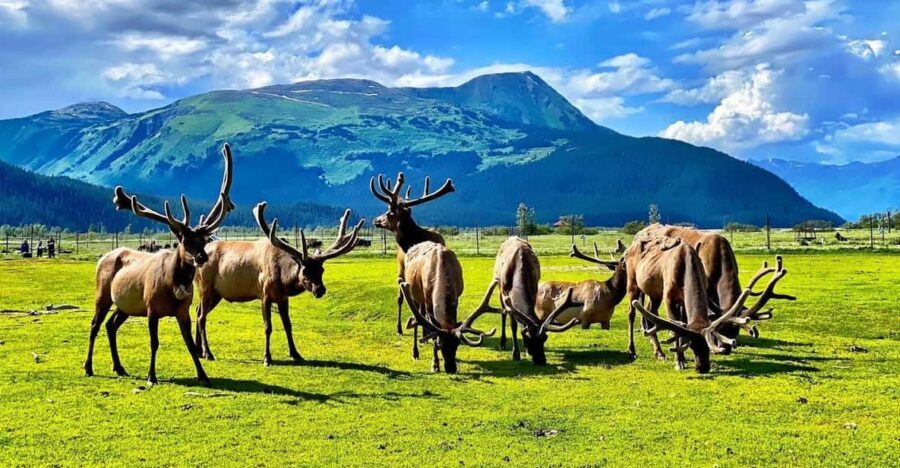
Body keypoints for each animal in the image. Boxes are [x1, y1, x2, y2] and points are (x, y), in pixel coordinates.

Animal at [84, 143, 235, 385]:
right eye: (185, 240)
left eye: (203, 240)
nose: (202, 257)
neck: (173, 285)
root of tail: (101, 258)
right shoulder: (151, 308)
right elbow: (154, 343)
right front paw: (151, 376)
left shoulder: (183, 311)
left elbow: (189, 344)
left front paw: (203, 375)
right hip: (103, 295)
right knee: (94, 325)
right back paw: (88, 367)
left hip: (126, 305)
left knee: (110, 325)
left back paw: (119, 367)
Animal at [193, 203, 364, 365]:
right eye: (305, 271)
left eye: (322, 270)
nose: (320, 290)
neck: (283, 279)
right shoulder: (265, 295)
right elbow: (268, 327)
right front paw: (267, 358)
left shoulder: (283, 298)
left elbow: (288, 324)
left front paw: (296, 354)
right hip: (205, 287)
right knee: (202, 317)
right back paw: (208, 353)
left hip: (217, 293)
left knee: (198, 310)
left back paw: (199, 351)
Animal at [369, 172, 455, 339]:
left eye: (389, 212)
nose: (376, 220)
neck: (413, 241)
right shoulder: (403, 271)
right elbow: (403, 299)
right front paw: (403, 328)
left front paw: (425, 332)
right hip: (402, 269)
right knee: (405, 299)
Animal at [397, 241, 498, 373]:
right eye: (442, 345)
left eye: (457, 345)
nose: (451, 368)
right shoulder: (428, 302)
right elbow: (433, 332)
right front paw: (435, 364)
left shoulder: (457, 297)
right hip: (415, 294)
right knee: (416, 319)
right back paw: (415, 352)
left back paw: (424, 338)